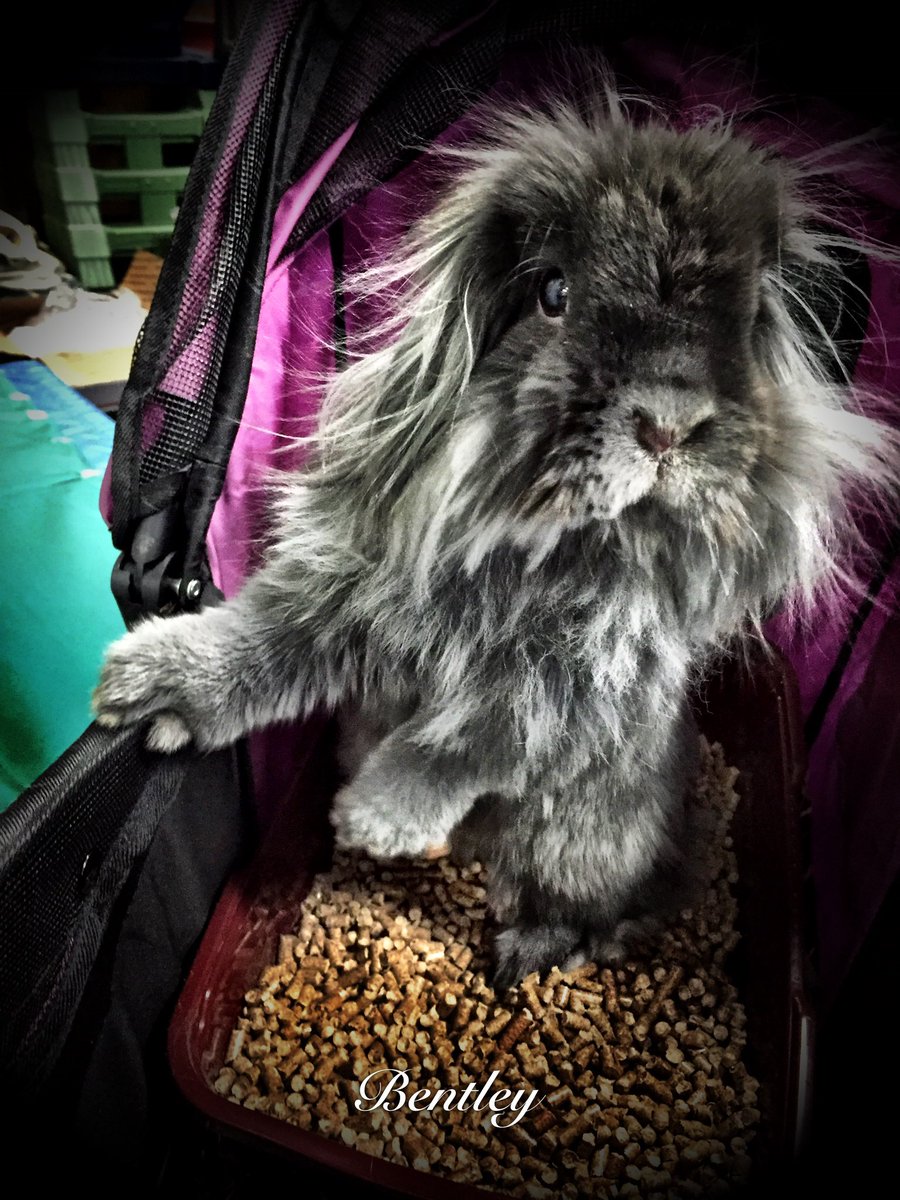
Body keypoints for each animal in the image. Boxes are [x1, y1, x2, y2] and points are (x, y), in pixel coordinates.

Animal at [93, 89, 899, 989]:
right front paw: (141, 687)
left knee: (594, 908)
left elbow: (472, 739)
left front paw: (374, 819)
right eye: (554, 292)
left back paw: (534, 951)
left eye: (751, 314)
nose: (670, 422)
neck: (536, 531)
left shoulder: (566, 684)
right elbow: (260, 647)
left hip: (574, 844)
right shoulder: (348, 598)